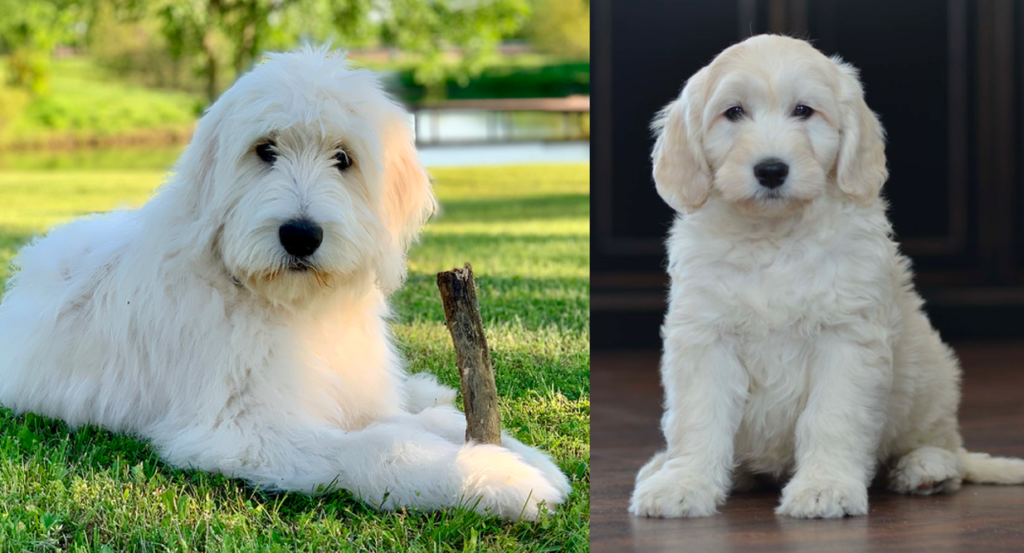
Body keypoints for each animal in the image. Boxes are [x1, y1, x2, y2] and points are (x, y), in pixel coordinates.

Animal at [0, 46, 569, 518]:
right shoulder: (237, 429)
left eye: (343, 158)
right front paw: (495, 479)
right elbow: (377, 445)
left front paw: (523, 457)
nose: (300, 235)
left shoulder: (355, 388)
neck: (290, 306)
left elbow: (425, 423)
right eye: (265, 150)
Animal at [626, 36, 1024, 520]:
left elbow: (832, 417)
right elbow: (697, 416)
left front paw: (825, 488)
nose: (771, 170)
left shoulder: (847, 337)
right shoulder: (705, 335)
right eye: (734, 112)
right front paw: (683, 483)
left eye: (804, 110)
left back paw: (925, 468)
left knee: (943, 444)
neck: (775, 237)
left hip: (933, 378)